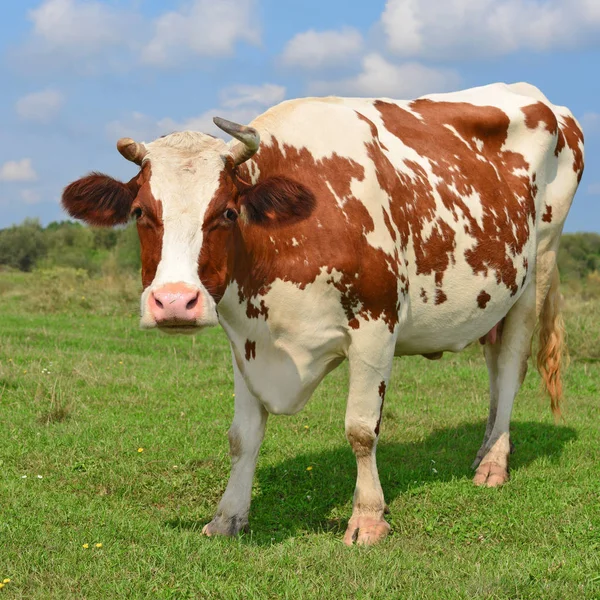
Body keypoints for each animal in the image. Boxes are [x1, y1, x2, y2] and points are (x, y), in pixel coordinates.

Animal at [63, 82, 584, 548]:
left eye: (228, 212)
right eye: (139, 212)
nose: (174, 302)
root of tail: (543, 99)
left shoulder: (376, 325)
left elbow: (361, 429)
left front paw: (369, 519)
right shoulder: (244, 339)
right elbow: (241, 436)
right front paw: (228, 517)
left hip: (538, 269)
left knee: (512, 364)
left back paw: (494, 464)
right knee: (495, 367)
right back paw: (484, 451)